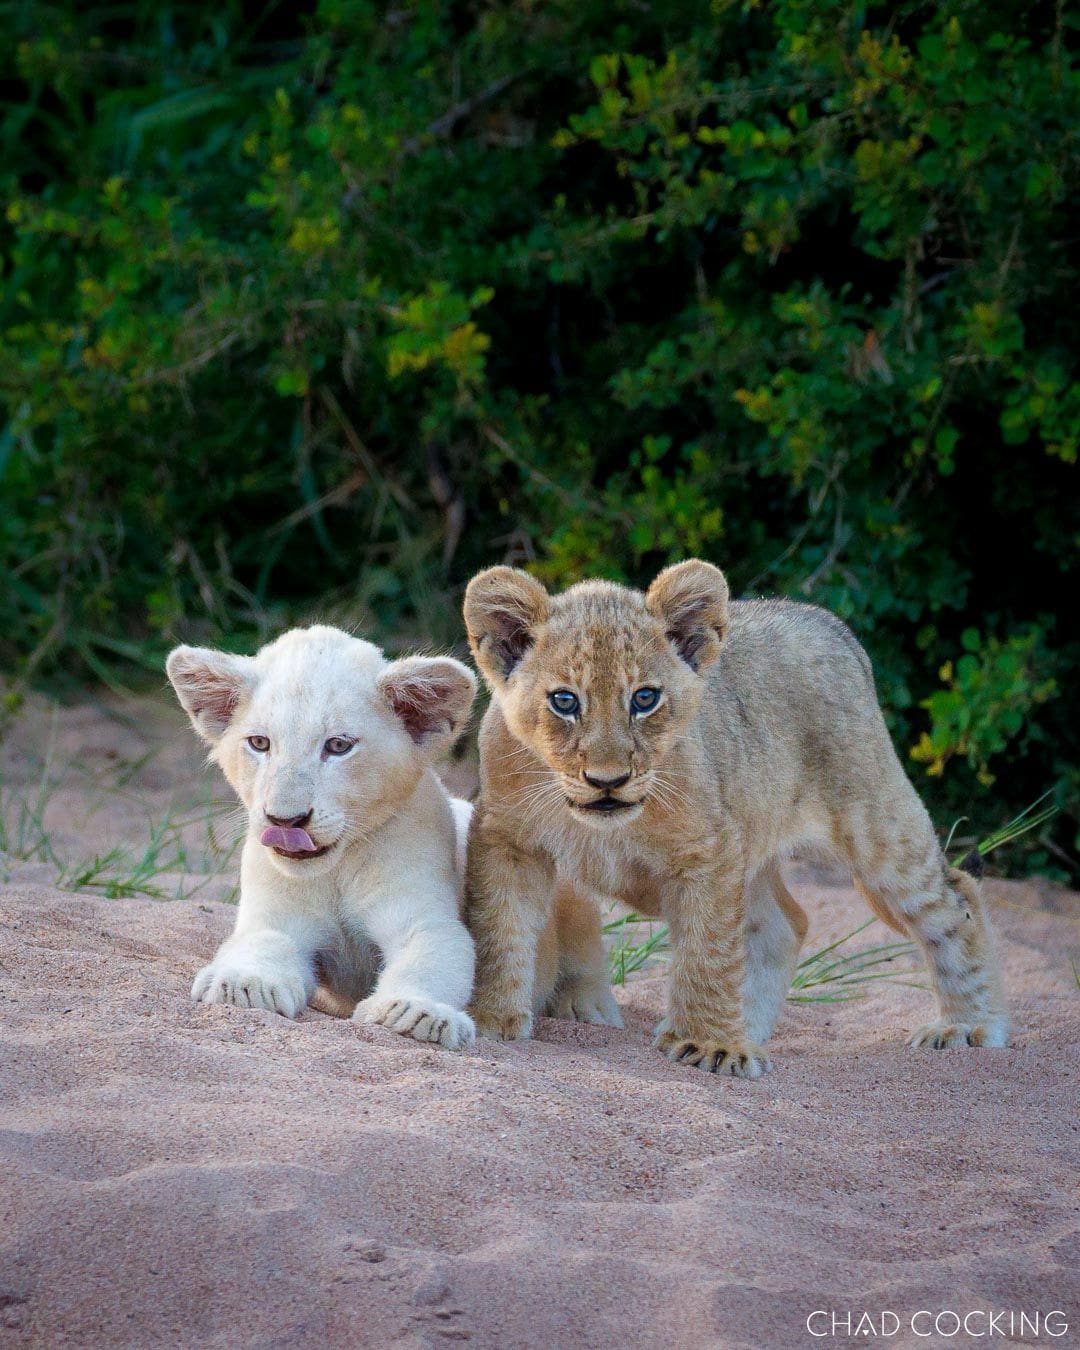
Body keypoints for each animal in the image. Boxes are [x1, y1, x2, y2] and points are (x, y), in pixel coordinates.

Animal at [166, 624, 478, 1050]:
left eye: (338, 745)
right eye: (260, 743)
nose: (285, 820)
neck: (337, 870)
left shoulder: (426, 919)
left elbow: (430, 958)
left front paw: (415, 1012)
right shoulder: (276, 916)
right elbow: (262, 943)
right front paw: (244, 984)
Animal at [462, 560, 1009, 1077]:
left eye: (644, 698)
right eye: (564, 701)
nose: (607, 780)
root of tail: (827, 622)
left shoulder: (709, 849)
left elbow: (707, 948)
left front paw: (710, 1044)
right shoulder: (506, 839)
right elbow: (499, 927)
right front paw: (489, 1018)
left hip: (876, 830)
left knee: (955, 898)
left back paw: (968, 1025)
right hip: (756, 848)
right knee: (785, 926)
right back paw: (750, 1027)